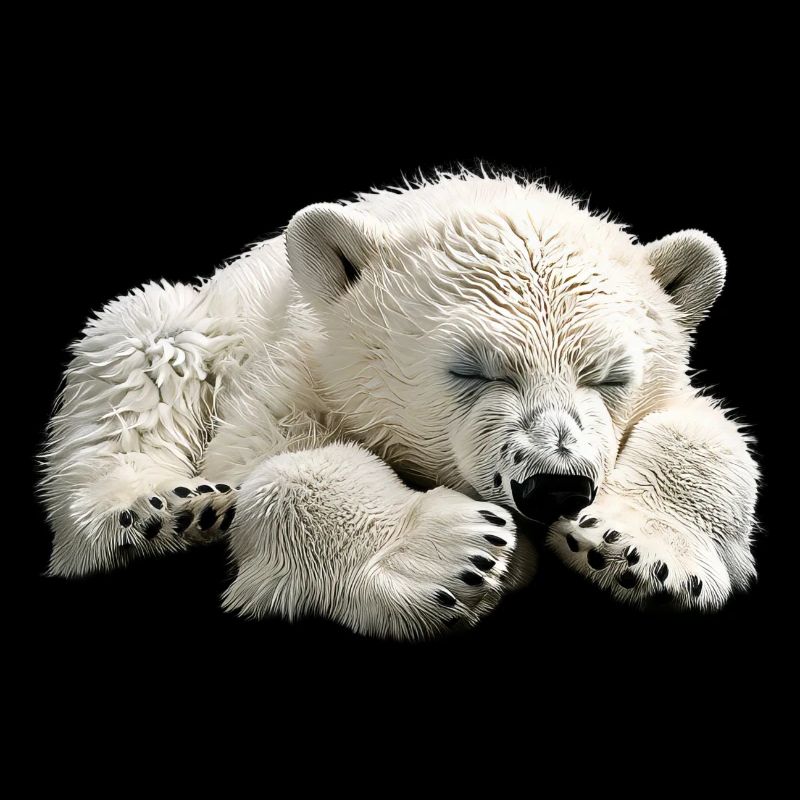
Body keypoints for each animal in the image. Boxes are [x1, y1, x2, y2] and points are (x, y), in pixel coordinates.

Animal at [39, 170, 759, 640]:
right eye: (471, 369)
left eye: (611, 377)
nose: (555, 485)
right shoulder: (300, 379)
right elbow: (274, 471)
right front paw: (453, 549)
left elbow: (706, 436)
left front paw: (639, 550)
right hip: (201, 322)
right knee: (142, 343)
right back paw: (163, 510)